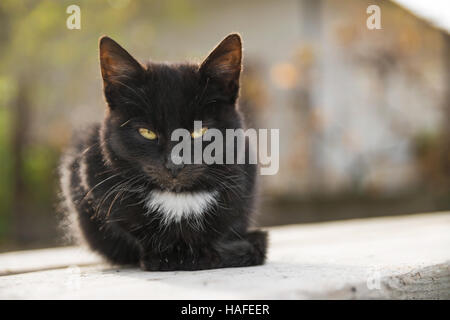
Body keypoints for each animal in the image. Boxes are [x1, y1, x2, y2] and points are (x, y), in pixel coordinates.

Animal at [61, 34, 268, 270]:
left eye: (200, 131)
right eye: (147, 132)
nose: (174, 164)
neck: (177, 200)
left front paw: (204, 254)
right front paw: (166, 257)